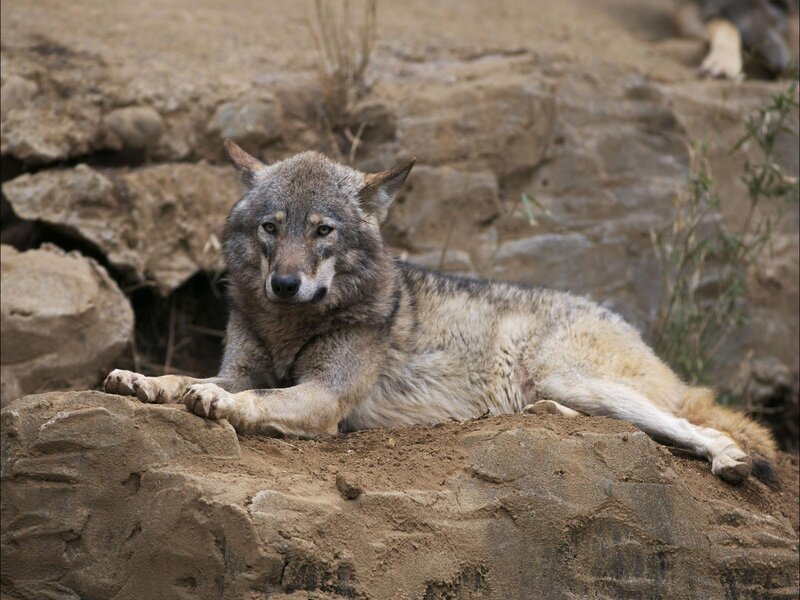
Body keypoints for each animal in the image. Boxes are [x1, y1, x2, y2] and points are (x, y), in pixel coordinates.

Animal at [104, 140, 778, 484]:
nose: (286, 283)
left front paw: (215, 403)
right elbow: (185, 377)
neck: (289, 325)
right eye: (271, 227)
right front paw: (141, 379)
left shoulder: (324, 397)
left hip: (573, 376)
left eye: (322, 230)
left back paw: (729, 460)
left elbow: (250, 397)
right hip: (568, 389)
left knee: (695, 427)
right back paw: (546, 417)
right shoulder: (241, 365)